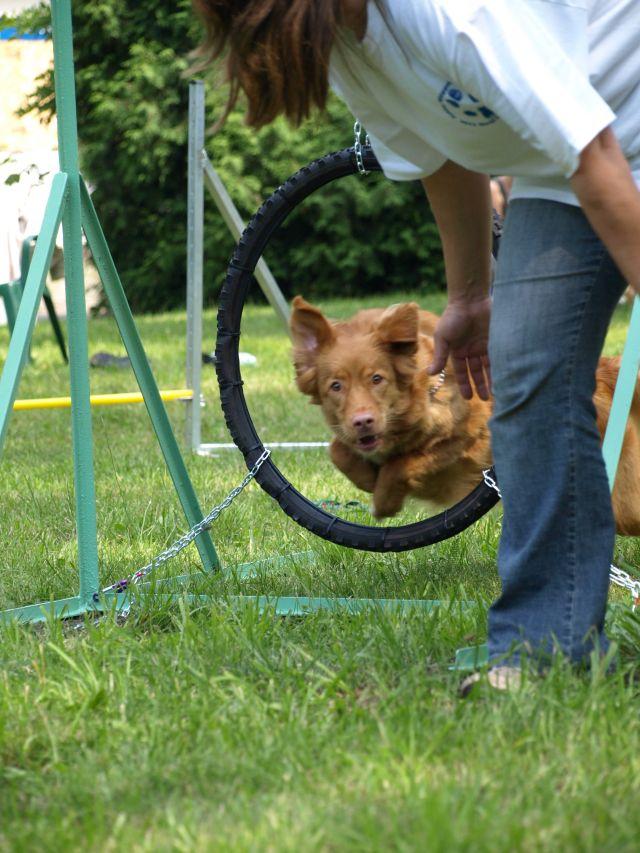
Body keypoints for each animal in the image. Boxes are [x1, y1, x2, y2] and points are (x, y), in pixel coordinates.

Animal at [292, 294, 640, 532]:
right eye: (336, 386)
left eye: (377, 379)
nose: (363, 421)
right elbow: (337, 450)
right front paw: (366, 477)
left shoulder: (470, 437)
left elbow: (402, 464)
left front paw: (384, 502)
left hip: (623, 504)